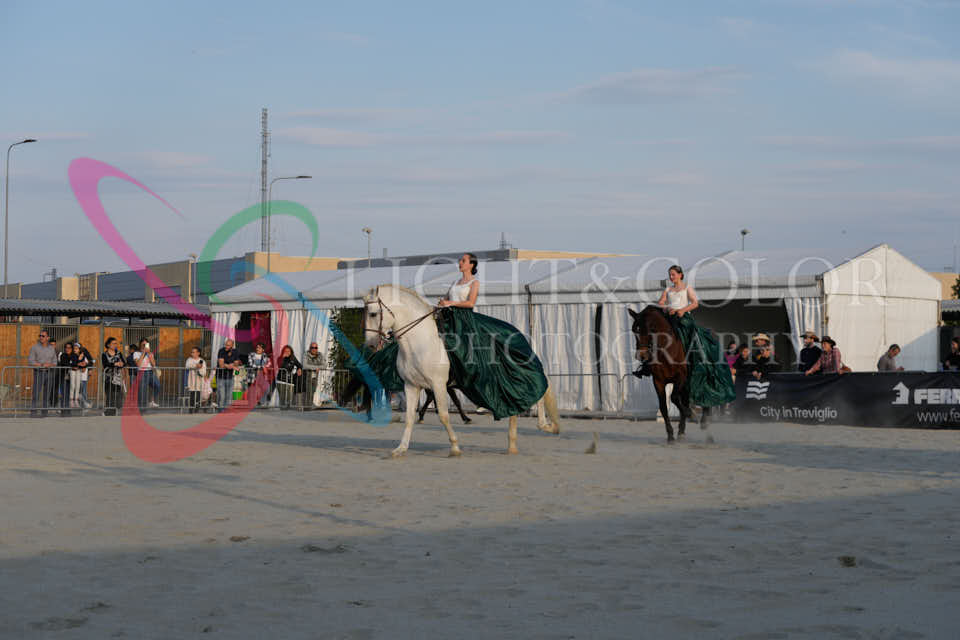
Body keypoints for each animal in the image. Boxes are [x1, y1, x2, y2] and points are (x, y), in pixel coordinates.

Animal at [363, 284, 560, 457]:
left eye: (373, 313)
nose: (370, 345)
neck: (420, 343)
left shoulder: (438, 384)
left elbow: (443, 415)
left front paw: (455, 448)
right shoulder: (411, 385)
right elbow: (410, 417)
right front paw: (400, 449)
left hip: (516, 373)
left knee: (538, 388)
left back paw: (547, 426)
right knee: (516, 403)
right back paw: (512, 445)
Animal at [629, 306, 711, 443]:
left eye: (651, 330)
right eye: (635, 330)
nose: (642, 356)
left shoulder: (680, 377)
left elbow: (673, 398)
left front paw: (690, 414)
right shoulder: (658, 381)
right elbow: (663, 407)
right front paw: (671, 435)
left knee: (704, 393)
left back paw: (704, 421)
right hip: (686, 385)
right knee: (686, 400)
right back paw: (682, 431)